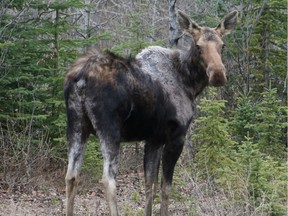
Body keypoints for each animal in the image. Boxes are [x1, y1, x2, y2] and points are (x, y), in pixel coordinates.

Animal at [65, 9, 238, 214]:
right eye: (198, 46)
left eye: (222, 45)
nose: (218, 74)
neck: (190, 83)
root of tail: (81, 78)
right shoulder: (176, 136)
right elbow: (165, 187)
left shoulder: (154, 139)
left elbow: (149, 186)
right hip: (110, 130)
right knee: (108, 180)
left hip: (76, 125)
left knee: (71, 176)